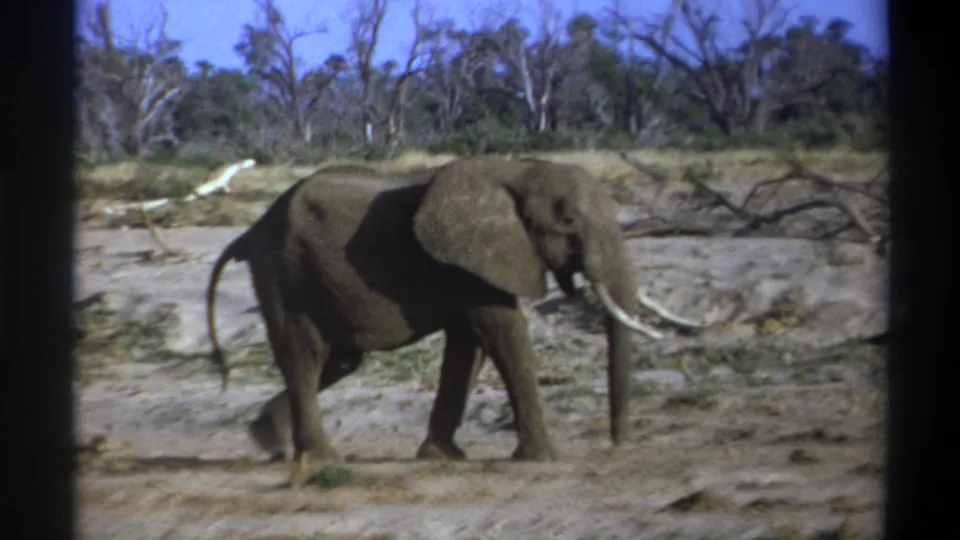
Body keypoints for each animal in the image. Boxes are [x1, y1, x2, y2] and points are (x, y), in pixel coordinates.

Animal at [205, 156, 690, 486]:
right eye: (569, 223)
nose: (618, 445)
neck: (519, 172)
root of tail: (251, 231)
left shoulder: (467, 264)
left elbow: (467, 345)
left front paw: (442, 456)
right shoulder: (470, 260)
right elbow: (502, 332)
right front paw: (544, 458)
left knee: (340, 359)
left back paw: (268, 440)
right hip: (284, 270)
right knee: (305, 354)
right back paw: (323, 459)